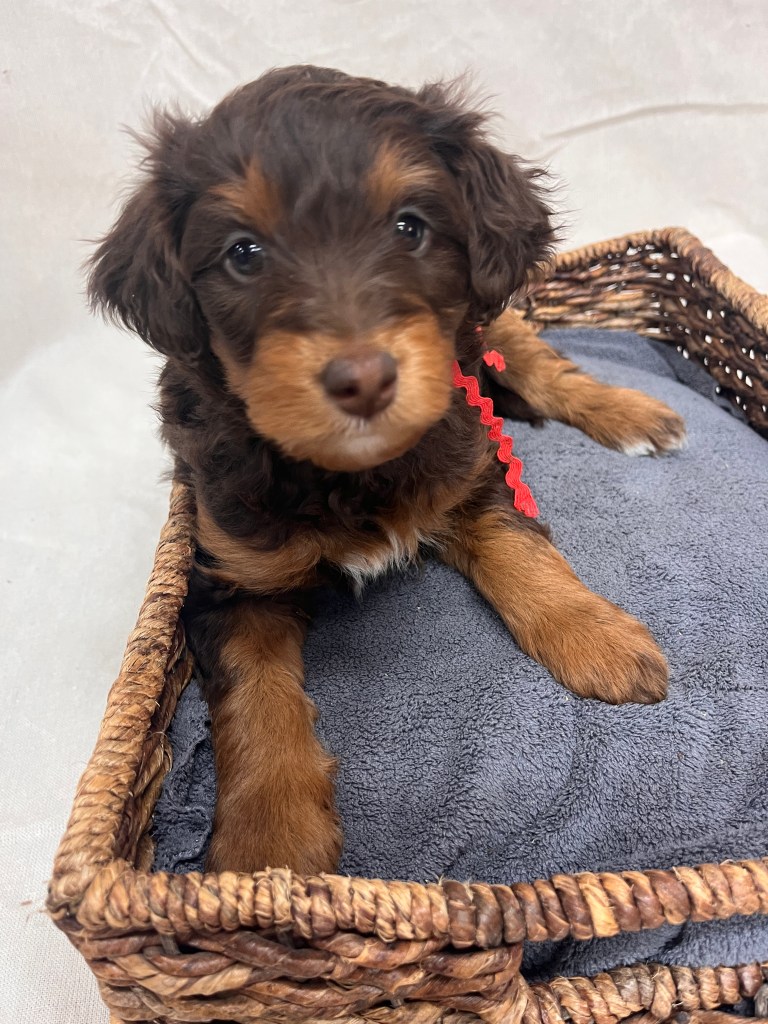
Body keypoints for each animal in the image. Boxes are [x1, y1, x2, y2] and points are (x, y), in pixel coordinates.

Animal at [89, 65, 686, 875]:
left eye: (409, 227)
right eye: (244, 253)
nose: (364, 380)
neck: (348, 471)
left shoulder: (469, 469)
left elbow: (524, 551)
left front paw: (599, 637)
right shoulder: (231, 575)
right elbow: (255, 697)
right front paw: (267, 842)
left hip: (492, 324)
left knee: (546, 366)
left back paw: (635, 416)